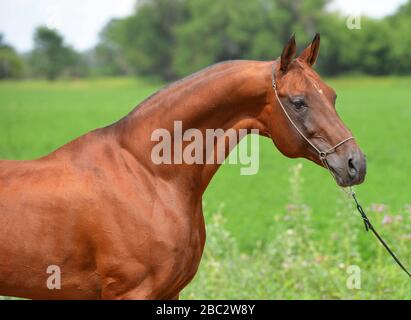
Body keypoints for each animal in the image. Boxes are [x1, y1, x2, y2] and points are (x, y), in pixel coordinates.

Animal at [0, 33, 366, 298]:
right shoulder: (130, 293)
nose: (355, 163)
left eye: (332, 96)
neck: (148, 175)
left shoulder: (169, 292)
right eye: (299, 102)